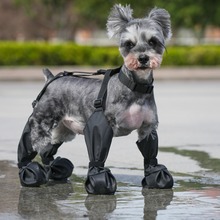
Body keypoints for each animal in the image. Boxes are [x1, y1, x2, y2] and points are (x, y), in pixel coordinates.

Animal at [17, 3, 174, 194]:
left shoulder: (147, 128)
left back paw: (54, 171)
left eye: (153, 41)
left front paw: (156, 177)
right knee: (31, 145)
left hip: (63, 130)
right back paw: (29, 172)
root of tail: (51, 79)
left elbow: (150, 155)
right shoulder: (100, 128)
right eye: (129, 44)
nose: (143, 58)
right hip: (40, 123)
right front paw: (100, 182)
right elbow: (98, 156)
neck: (135, 87)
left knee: (47, 151)